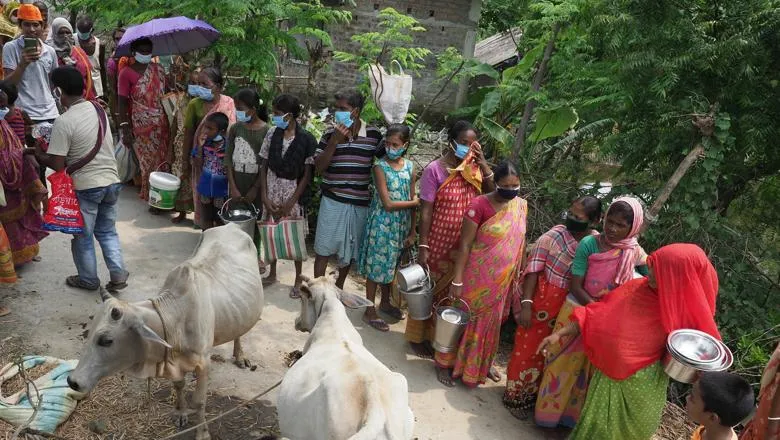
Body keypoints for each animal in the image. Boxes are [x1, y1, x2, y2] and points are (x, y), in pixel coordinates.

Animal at [68, 225, 262, 438]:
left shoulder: (204, 361)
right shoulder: (175, 362)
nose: (72, 381)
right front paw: (180, 413)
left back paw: (240, 356)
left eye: (106, 340)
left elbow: (199, 401)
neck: (177, 316)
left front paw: (202, 433)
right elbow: (179, 385)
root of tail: (231, 226)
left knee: (240, 332)